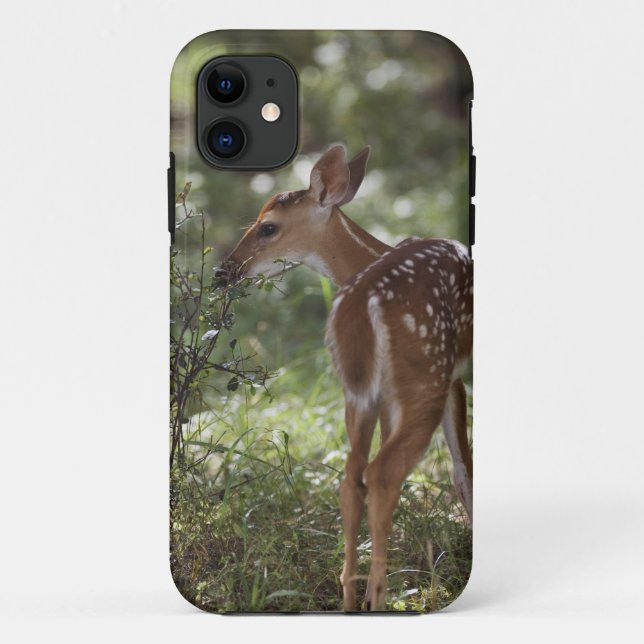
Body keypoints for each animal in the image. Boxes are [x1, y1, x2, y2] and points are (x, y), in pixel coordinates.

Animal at [221, 145, 473, 611]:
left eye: (267, 226)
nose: (223, 272)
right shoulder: (453, 377)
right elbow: (463, 471)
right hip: (422, 374)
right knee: (382, 473)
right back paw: (376, 596)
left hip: (361, 390)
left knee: (353, 478)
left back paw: (352, 597)